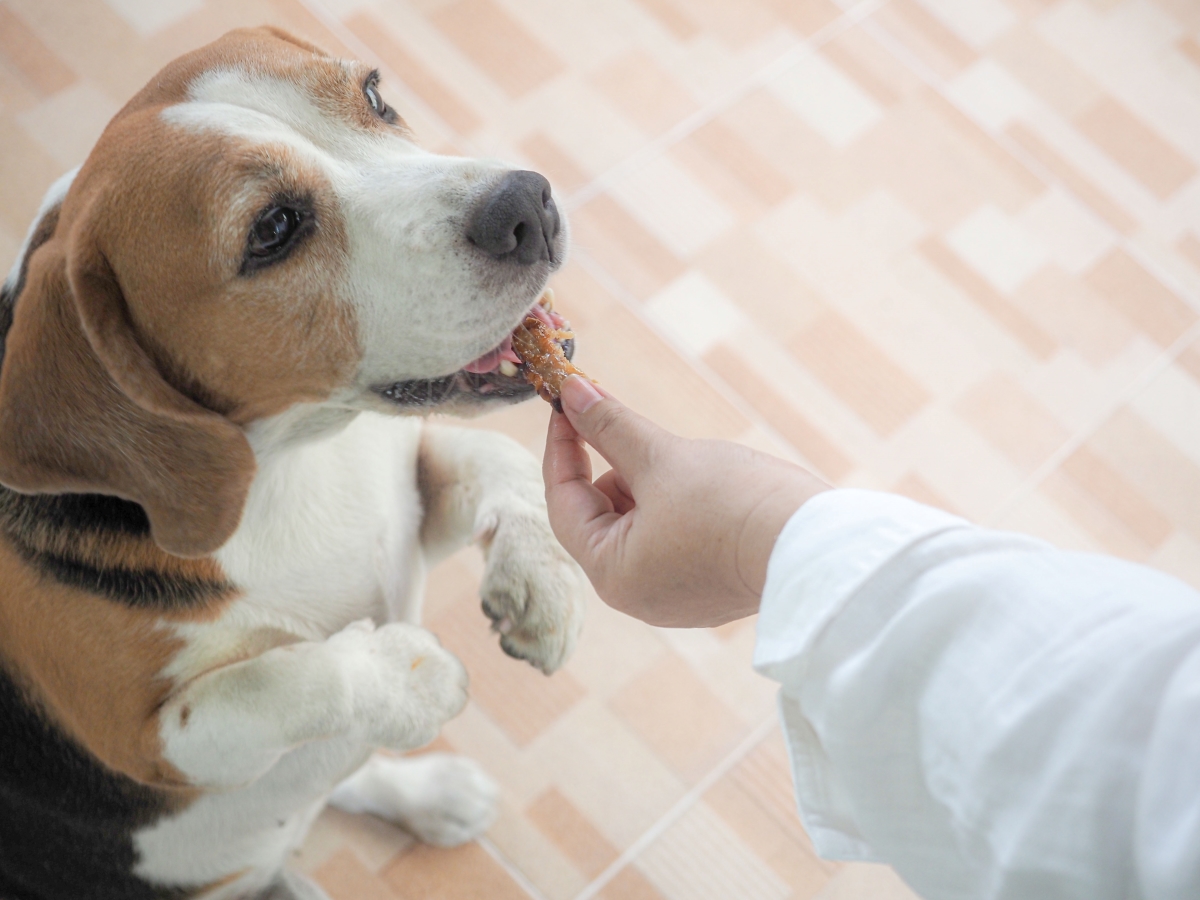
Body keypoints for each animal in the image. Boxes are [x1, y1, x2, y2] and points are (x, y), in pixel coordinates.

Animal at [0, 26, 585, 900]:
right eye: (273, 229)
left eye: (374, 95)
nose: (526, 203)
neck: (292, 460)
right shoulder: (155, 740)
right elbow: (291, 679)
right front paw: (408, 675)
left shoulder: (407, 494)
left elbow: (504, 461)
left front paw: (541, 582)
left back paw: (429, 794)